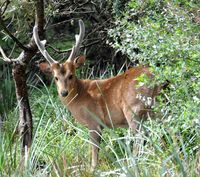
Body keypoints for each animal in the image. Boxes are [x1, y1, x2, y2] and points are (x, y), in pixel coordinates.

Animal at [33, 20, 164, 169]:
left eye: (71, 75)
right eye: (55, 78)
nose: (64, 92)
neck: (81, 96)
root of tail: (155, 78)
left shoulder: (94, 122)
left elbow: (94, 152)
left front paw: (93, 169)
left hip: (134, 109)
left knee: (140, 138)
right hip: (156, 108)